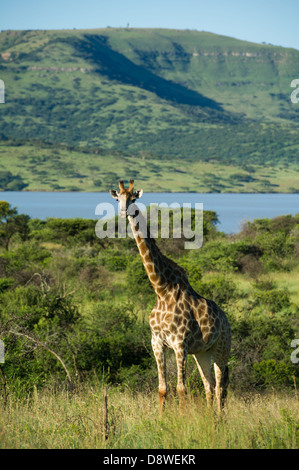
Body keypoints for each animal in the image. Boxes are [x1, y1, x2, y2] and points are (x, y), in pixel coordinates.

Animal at [110, 178, 232, 414]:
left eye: (133, 198)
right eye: (118, 198)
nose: (123, 212)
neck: (161, 290)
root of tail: (227, 319)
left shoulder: (179, 343)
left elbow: (181, 388)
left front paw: (182, 420)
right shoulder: (157, 342)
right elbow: (163, 389)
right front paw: (160, 419)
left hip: (222, 347)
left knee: (222, 387)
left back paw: (220, 419)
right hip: (202, 352)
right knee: (210, 385)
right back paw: (211, 419)